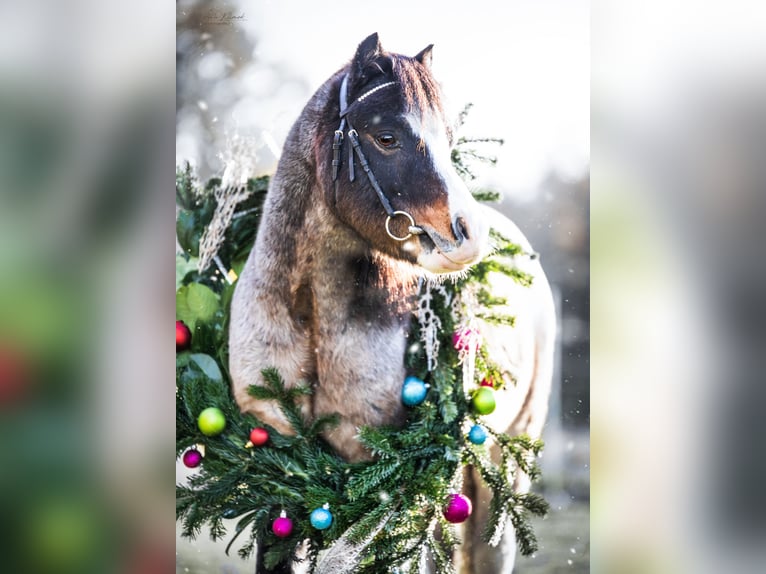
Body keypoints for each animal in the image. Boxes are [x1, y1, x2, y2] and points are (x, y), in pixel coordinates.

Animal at [229, 33, 555, 574]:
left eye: (448, 137)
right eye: (386, 137)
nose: (470, 233)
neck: (310, 320)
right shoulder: (278, 468)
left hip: (501, 462)